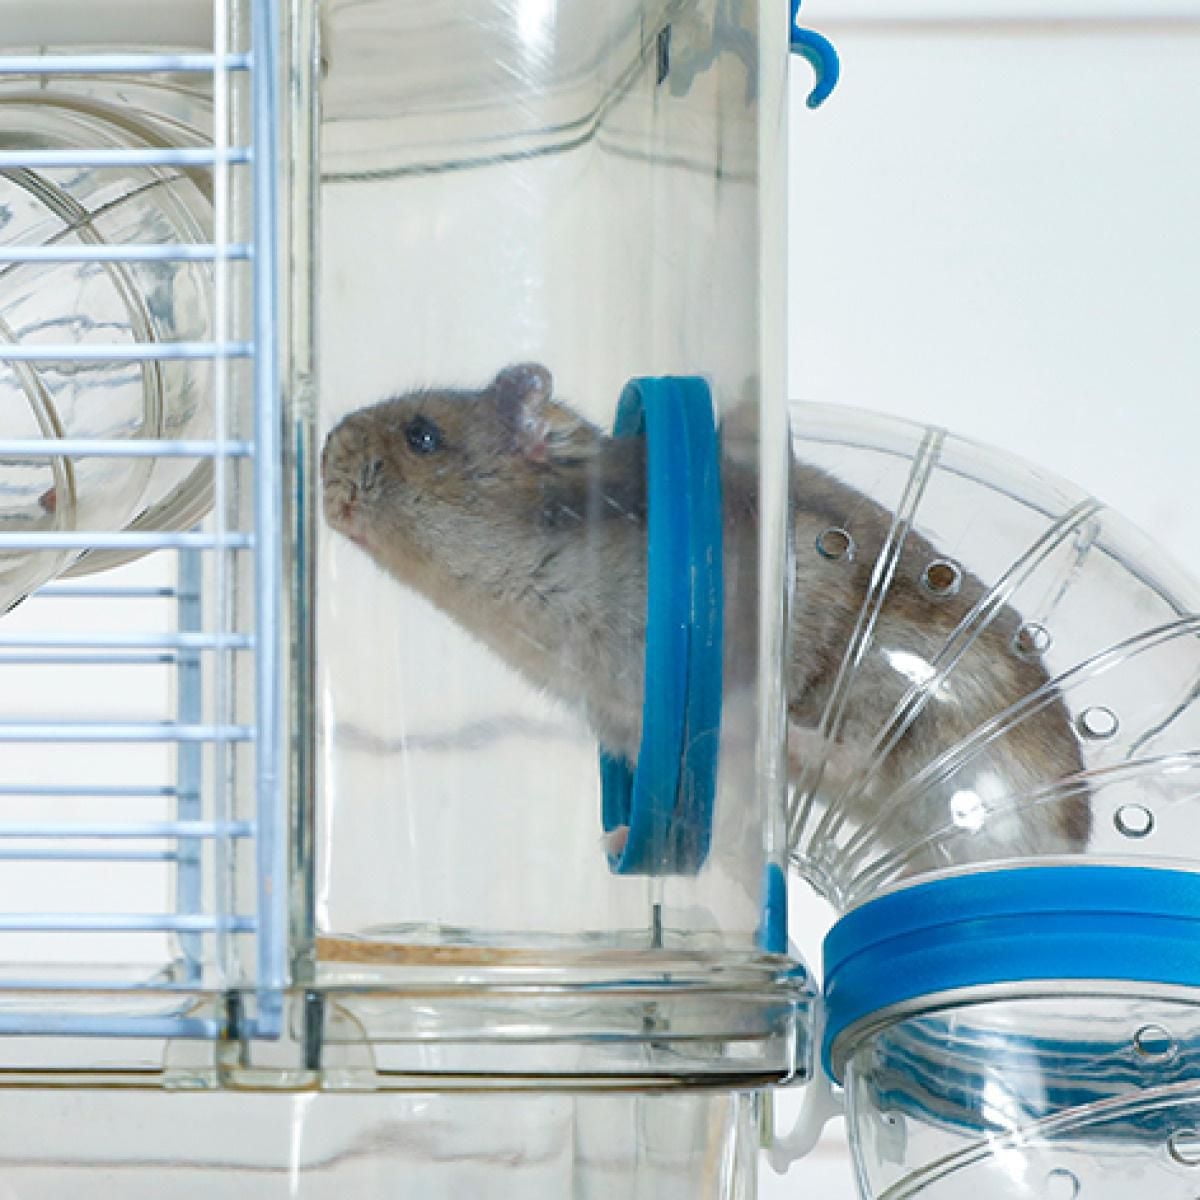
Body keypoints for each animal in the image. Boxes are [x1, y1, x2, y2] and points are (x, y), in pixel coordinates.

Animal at [321, 363, 1090, 873]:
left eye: (422, 436)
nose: (322, 458)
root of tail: (1069, 838)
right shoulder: (619, 715)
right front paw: (614, 843)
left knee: (865, 758)